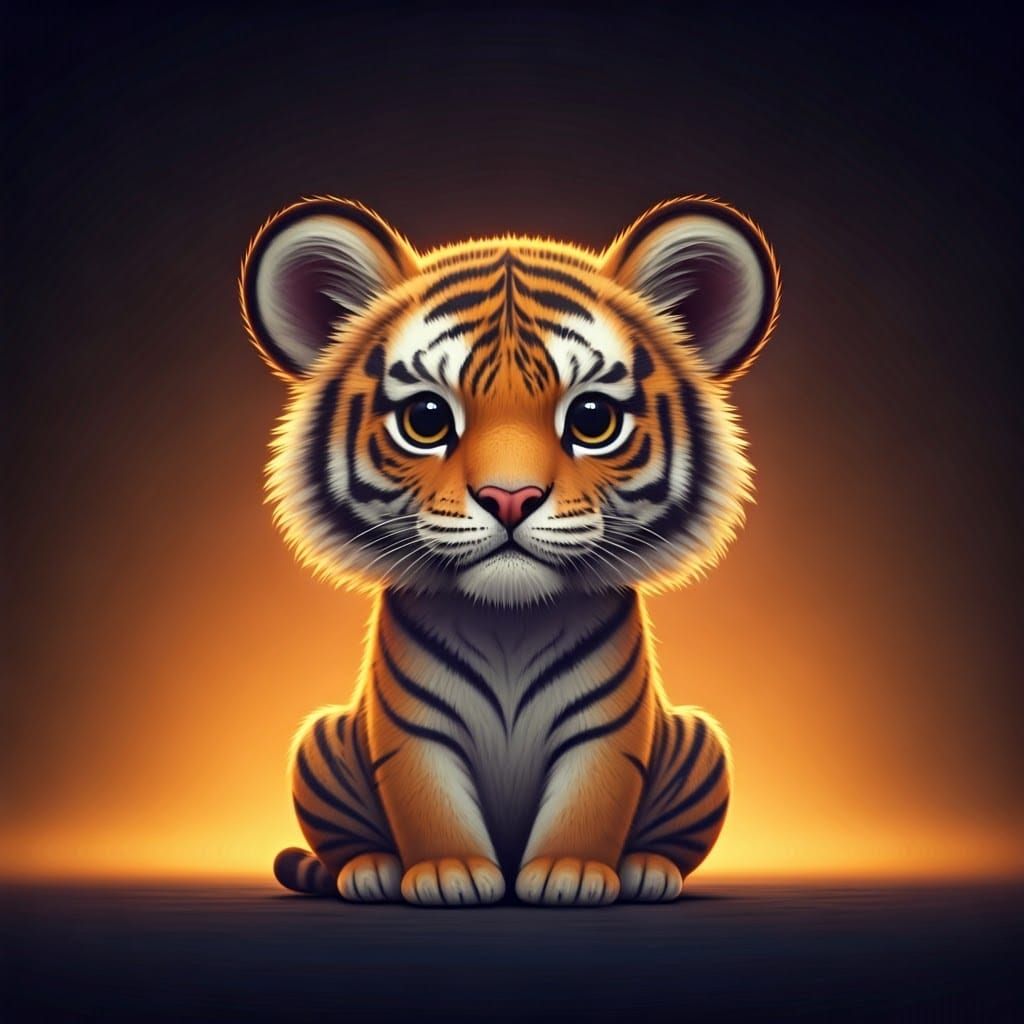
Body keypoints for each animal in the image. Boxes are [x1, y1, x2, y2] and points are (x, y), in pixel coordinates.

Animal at [239, 194, 780, 905]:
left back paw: (648, 870)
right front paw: (450, 874)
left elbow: (592, 800)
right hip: (319, 742)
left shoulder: (605, 729)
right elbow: (427, 801)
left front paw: (570, 874)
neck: (509, 626)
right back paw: (371, 870)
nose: (510, 497)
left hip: (702, 743)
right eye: (426, 419)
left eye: (593, 419)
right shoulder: (414, 728)